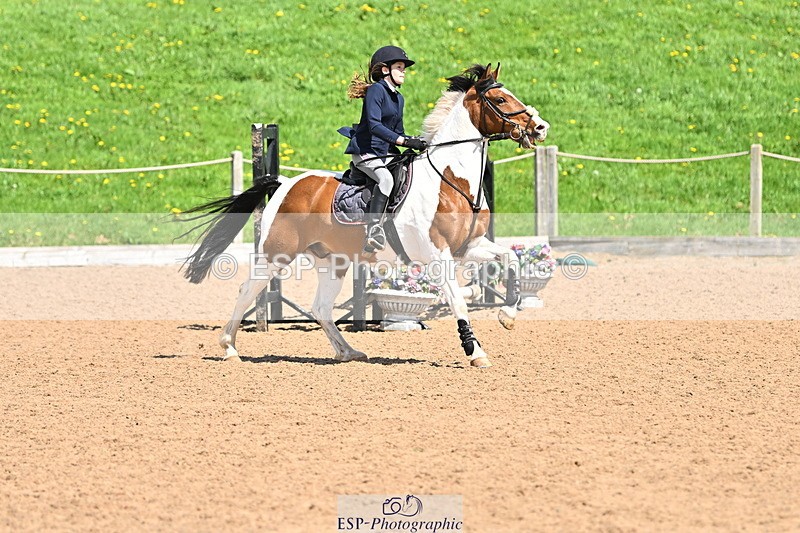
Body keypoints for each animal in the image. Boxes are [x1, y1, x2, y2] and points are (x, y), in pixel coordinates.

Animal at [182, 63, 549, 368]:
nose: (541, 128)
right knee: (247, 290)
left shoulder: (469, 247)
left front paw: (507, 314)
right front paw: (476, 352)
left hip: (333, 261)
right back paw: (229, 348)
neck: (451, 179)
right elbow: (458, 301)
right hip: (277, 254)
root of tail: (287, 182)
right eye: (500, 99)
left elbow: (511, 260)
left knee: (320, 308)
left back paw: (348, 351)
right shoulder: (438, 254)